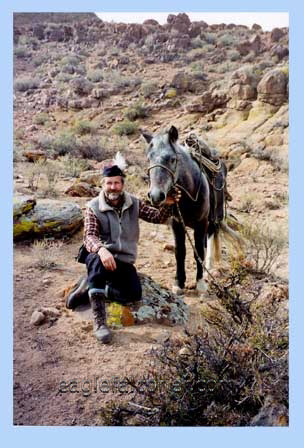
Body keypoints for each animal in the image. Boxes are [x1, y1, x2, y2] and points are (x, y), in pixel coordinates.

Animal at [142, 125, 228, 294]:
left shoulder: (201, 223)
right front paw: (179, 283)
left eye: (172, 159)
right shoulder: (176, 224)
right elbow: (180, 252)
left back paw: (208, 268)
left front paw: (200, 283)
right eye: (148, 159)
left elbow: (198, 251)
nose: (155, 195)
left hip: (214, 217)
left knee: (210, 237)